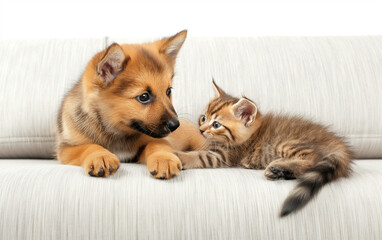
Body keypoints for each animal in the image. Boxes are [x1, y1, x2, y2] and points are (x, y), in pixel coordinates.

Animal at [55, 30, 206, 178]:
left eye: (168, 91)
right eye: (144, 97)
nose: (175, 125)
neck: (118, 132)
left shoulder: (157, 140)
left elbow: (156, 145)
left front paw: (164, 159)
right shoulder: (66, 148)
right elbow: (89, 146)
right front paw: (100, 156)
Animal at [176, 81, 352, 218]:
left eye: (216, 125)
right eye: (203, 118)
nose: (201, 130)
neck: (251, 134)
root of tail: (339, 145)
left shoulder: (224, 156)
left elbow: (198, 156)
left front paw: (179, 156)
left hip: (288, 143)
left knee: (313, 159)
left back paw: (278, 167)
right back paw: (280, 171)